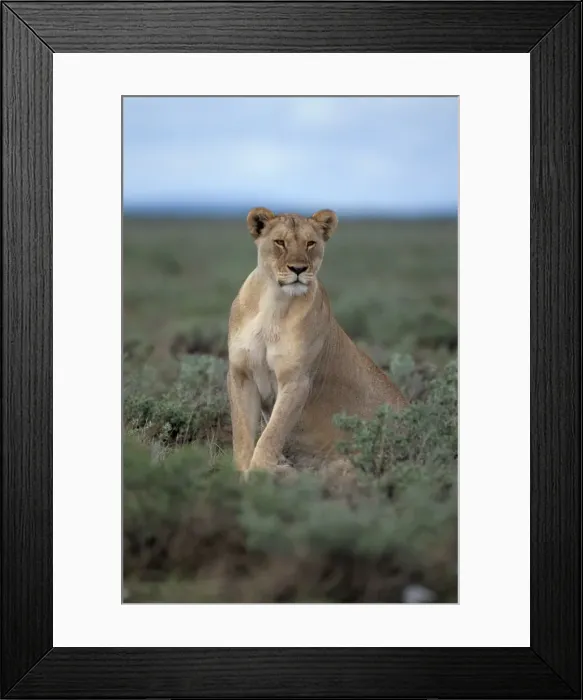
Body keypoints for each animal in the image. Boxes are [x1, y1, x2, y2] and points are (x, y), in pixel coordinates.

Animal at [227, 207, 408, 474]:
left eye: (310, 243)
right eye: (280, 242)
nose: (298, 269)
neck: (274, 302)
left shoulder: (297, 381)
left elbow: (271, 435)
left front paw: (259, 476)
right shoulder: (241, 375)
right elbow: (242, 436)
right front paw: (239, 476)